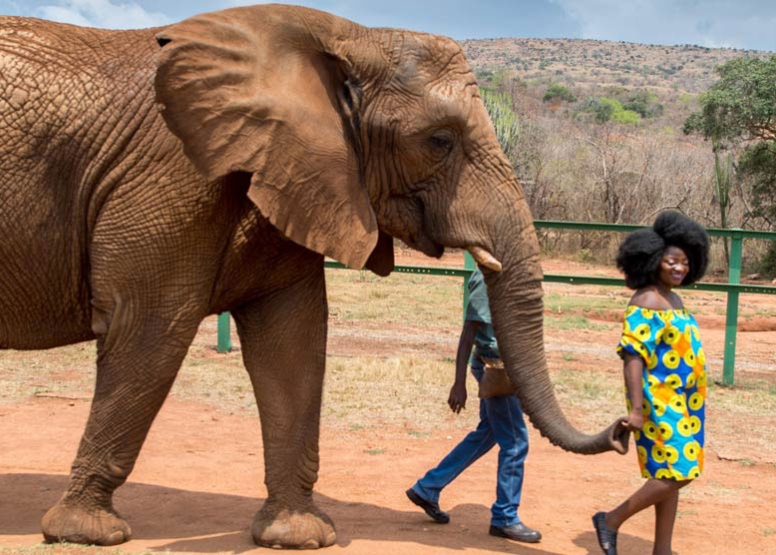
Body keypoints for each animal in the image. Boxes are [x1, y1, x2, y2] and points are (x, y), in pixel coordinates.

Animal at [0, 3, 624, 552]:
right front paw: (87, 533)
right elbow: (150, 331)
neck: (347, 37)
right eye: (439, 141)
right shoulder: (174, 174)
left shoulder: (299, 174)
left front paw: (299, 536)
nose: (622, 428)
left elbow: (293, 343)